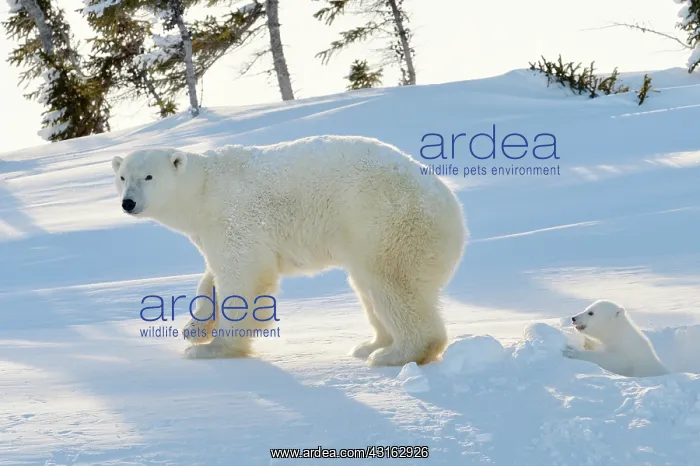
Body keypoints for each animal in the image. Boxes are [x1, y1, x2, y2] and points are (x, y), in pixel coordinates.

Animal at [111, 135, 468, 367]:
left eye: (148, 176)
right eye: (122, 176)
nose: (128, 203)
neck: (203, 190)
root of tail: (453, 209)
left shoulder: (234, 216)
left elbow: (243, 275)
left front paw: (213, 348)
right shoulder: (209, 231)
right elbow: (212, 274)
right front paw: (194, 328)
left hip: (386, 224)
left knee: (392, 285)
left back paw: (394, 354)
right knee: (368, 287)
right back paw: (371, 344)